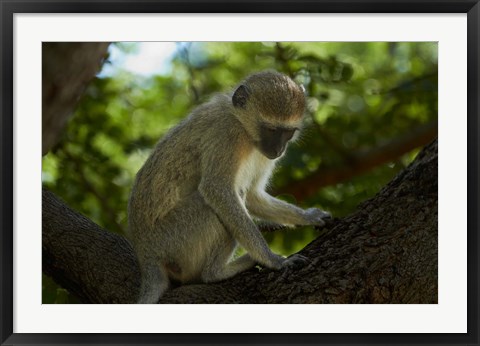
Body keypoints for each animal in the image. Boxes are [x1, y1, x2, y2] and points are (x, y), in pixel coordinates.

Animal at [127, 70, 330, 302]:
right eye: (271, 129)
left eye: (288, 132)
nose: (279, 150)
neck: (242, 124)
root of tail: (146, 255)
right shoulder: (227, 134)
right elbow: (217, 190)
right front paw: (273, 260)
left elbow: (252, 196)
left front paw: (308, 216)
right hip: (172, 240)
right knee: (210, 206)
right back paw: (216, 272)